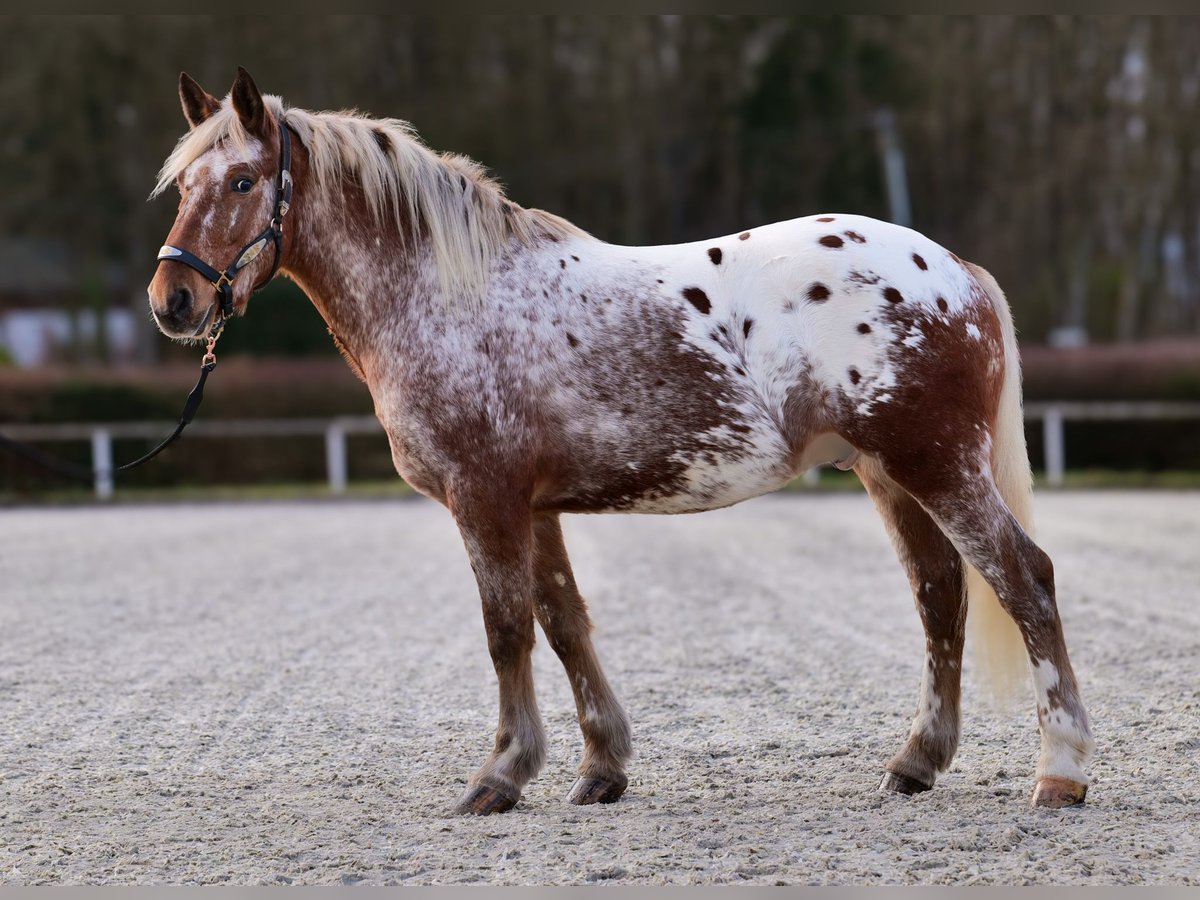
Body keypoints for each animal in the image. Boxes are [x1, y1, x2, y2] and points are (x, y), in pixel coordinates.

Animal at [145, 68, 1094, 816]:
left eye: (241, 181)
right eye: (184, 186)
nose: (172, 302)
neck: (448, 294)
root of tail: (954, 271)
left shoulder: (484, 498)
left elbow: (507, 630)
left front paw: (500, 775)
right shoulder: (534, 508)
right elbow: (565, 624)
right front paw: (601, 768)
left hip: (936, 466)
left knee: (1024, 580)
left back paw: (1061, 773)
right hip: (891, 474)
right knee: (941, 598)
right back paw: (915, 764)